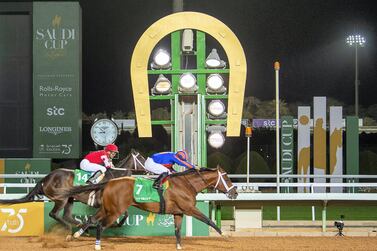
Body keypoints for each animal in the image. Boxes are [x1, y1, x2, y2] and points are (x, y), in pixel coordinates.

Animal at [0, 148, 146, 230]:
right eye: (141, 158)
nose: (148, 168)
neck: (115, 176)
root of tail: (46, 178)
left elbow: (125, 214)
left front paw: (117, 224)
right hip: (61, 198)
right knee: (53, 214)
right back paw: (70, 227)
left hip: (69, 199)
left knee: (66, 215)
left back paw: (79, 225)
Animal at [62, 166, 238, 250]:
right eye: (227, 178)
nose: (235, 192)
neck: (186, 184)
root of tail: (110, 182)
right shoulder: (189, 209)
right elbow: (208, 220)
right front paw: (225, 236)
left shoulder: (178, 213)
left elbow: (177, 231)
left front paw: (179, 246)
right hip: (115, 211)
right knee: (100, 225)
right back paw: (97, 245)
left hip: (107, 209)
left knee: (92, 219)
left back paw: (75, 235)